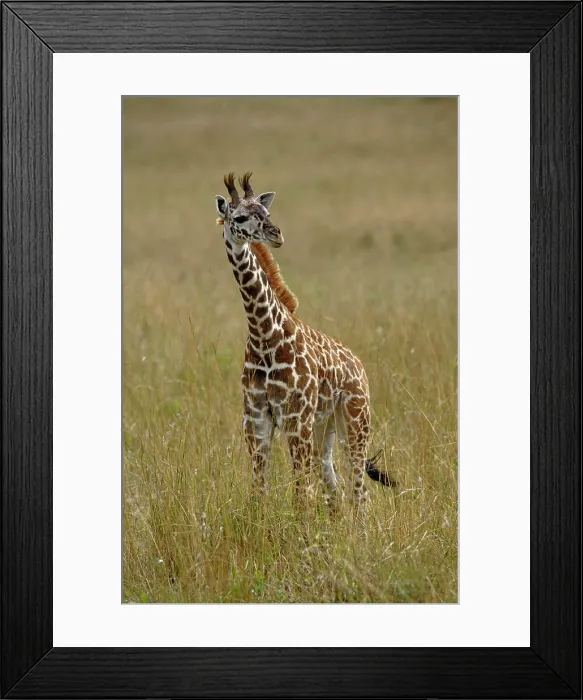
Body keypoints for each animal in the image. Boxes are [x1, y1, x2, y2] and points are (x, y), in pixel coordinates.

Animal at [215, 172, 396, 512]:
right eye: (240, 217)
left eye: (266, 211)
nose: (276, 234)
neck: (264, 336)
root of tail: (359, 365)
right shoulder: (255, 420)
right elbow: (259, 492)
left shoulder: (295, 419)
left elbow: (302, 496)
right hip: (325, 428)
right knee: (333, 487)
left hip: (355, 421)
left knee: (358, 492)